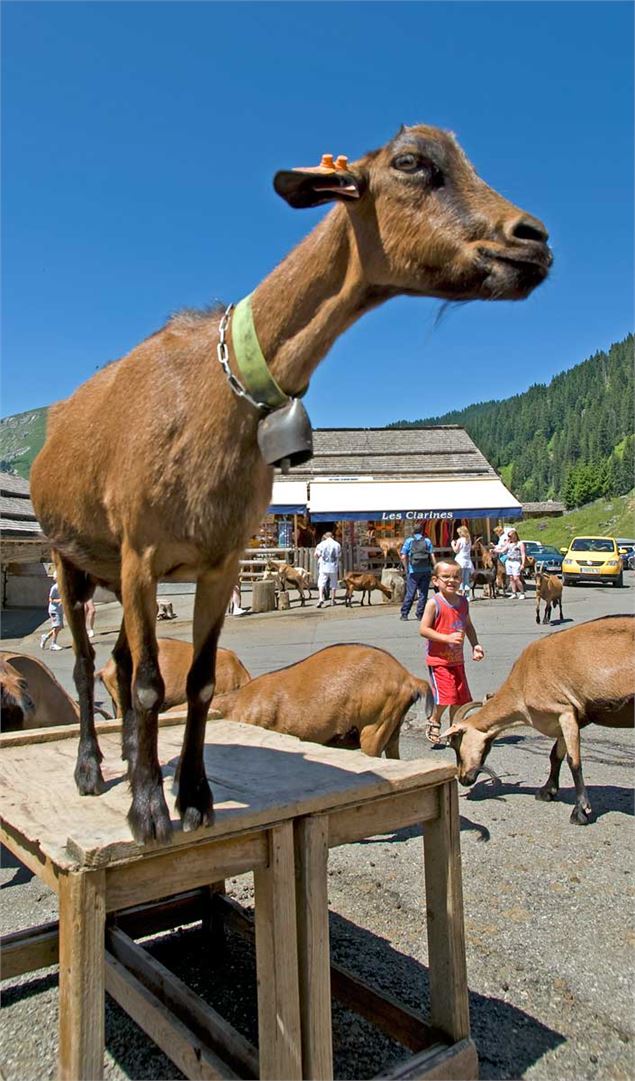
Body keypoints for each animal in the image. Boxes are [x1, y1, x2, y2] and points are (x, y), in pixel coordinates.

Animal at [441, 614, 635, 821]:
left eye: (455, 742)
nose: (463, 778)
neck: (524, 680)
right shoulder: (565, 717)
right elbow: (555, 755)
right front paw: (546, 792)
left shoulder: (564, 711)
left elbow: (573, 761)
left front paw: (579, 811)